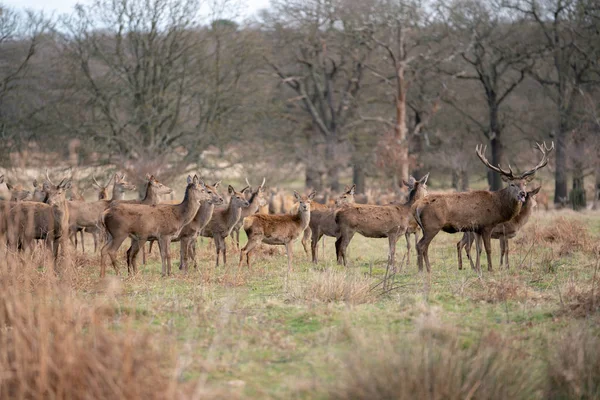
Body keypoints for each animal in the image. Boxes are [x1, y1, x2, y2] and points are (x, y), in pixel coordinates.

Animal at [412, 142, 552, 274]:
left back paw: (428, 269)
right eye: (512, 184)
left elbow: (478, 249)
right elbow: (488, 249)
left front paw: (478, 269)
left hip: (425, 228)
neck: (498, 206)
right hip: (432, 225)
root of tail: (416, 206)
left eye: (525, 184)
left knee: (424, 246)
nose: (522, 194)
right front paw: (491, 269)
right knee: (420, 245)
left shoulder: (476, 228)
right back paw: (421, 271)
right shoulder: (487, 225)